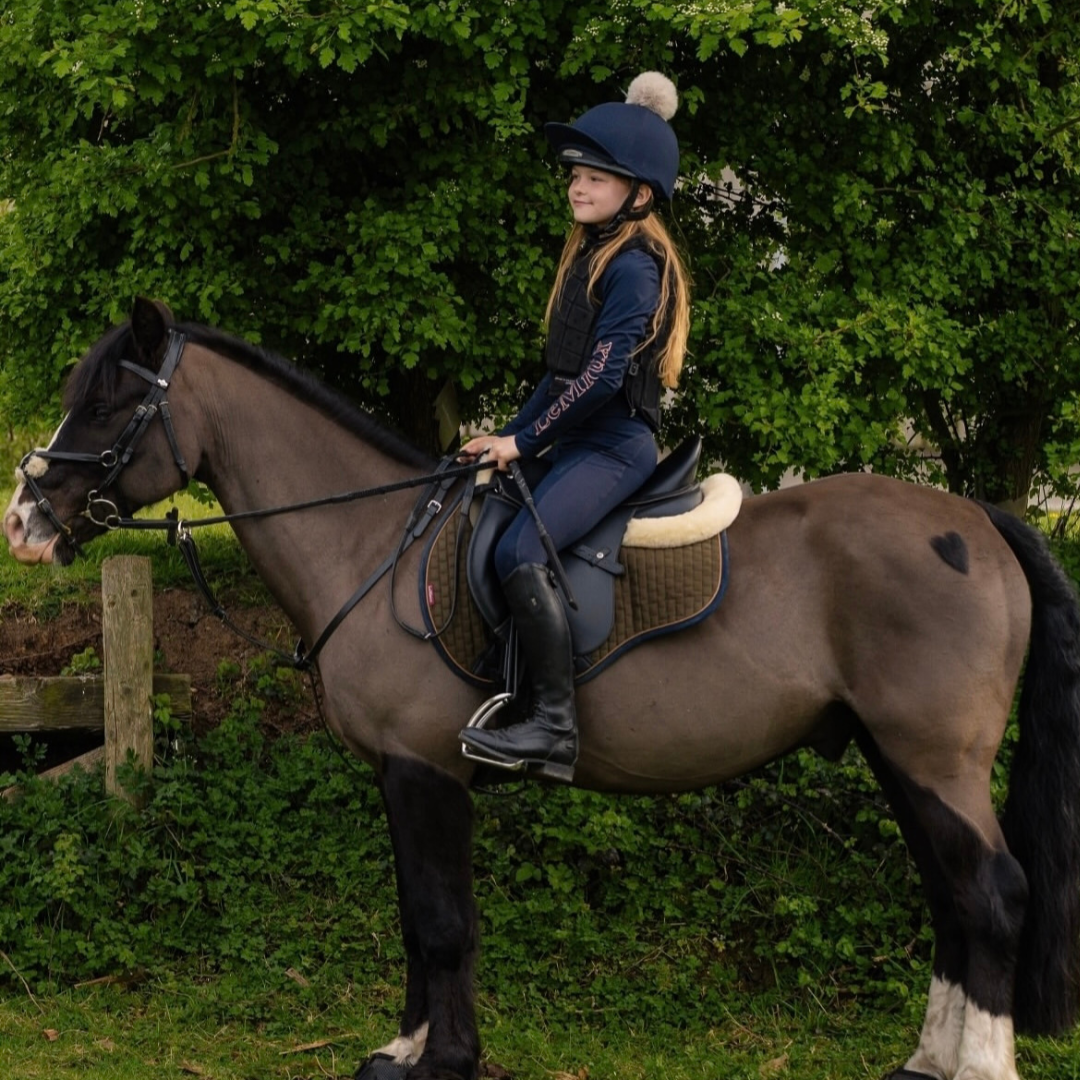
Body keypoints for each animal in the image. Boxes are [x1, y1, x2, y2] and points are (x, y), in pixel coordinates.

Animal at [5, 297, 1080, 1080]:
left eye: (106, 406)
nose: (23, 520)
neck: (375, 544)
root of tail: (975, 522)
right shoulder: (404, 778)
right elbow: (417, 916)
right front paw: (404, 1048)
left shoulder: (424, 771)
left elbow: (442, 922)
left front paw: (446, 1060)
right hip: (897, 758)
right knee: (952, 897)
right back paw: (928, 1062)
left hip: (934, 758)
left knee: (994, 893)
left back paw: (979, 1069)